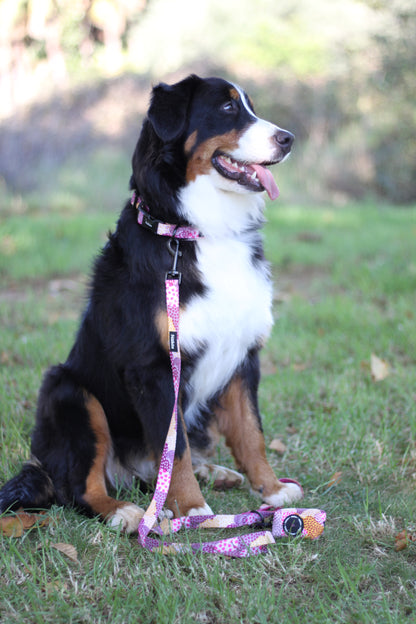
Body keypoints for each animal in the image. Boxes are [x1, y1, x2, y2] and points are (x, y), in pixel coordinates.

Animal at [0, 73, 302, 532]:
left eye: (251, 106)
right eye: (228, 108)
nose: (288, 139)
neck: (195, 232)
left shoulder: (242, 356)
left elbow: (252, 432)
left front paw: (271, 489)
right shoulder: (155, 367)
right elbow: (172, 447)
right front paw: (192, 509)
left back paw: (214, 473)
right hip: (70, 391)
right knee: (79, 488)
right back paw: (123, 512)